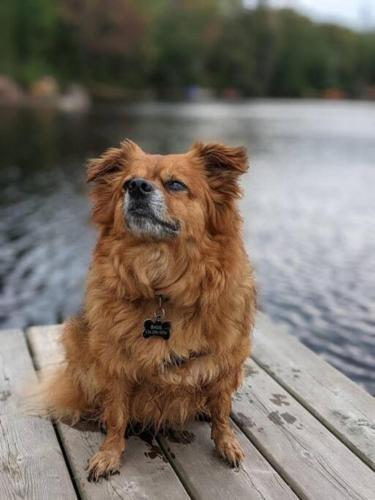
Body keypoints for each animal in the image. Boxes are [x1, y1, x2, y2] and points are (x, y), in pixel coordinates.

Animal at [35, 140, 258, 480]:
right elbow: (116, 414)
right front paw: (110, 453)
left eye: (176, 184)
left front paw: (226, 443)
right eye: (127, 182)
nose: (136, 187)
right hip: (77, 341)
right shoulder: (115, 365)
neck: (160, 287)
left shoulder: (227, 359)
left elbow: (221, 409)